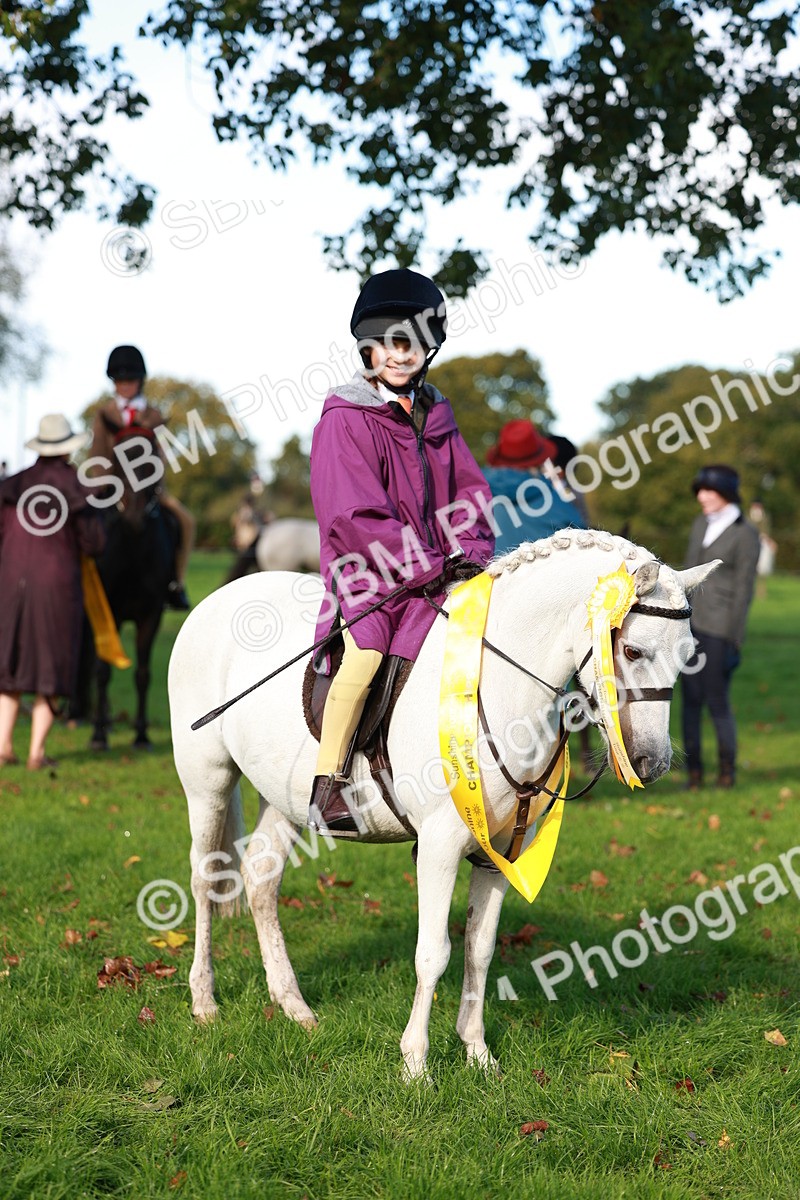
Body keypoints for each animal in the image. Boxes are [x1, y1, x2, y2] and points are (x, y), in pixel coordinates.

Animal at [90, 429, 178, 750]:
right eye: (118, 460)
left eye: (153, 459)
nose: (135, 517)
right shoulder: (109, 614)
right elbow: (102, 672)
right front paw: (99, 735)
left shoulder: (151, 615)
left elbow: (142, 674)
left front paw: (141, 735)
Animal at [168, 529, 718, 1080]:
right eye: (632, 649)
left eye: (688, 654)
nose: (651, 762)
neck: (497, 684)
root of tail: (219, 598)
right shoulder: (438, 846)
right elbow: (433, 953)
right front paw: (416, 1064)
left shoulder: (501, 852)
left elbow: (479, 950)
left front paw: (477, 1054)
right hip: (208, 781)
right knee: (203, 877)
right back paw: (204, 1001)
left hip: (285, 802)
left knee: (261, 880)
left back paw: (294, 1007)